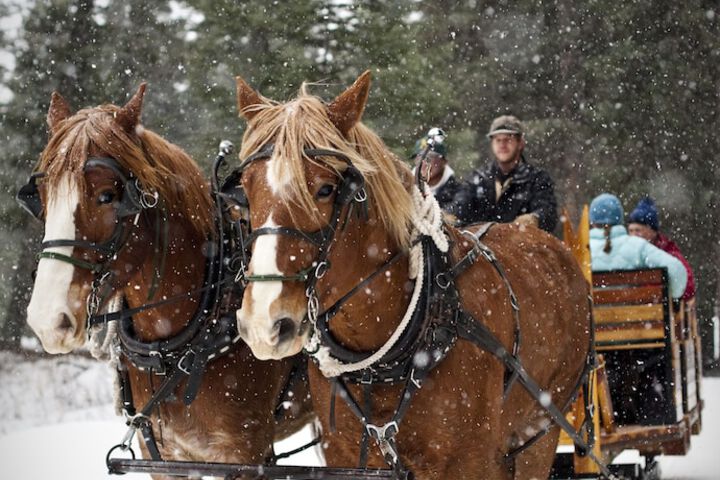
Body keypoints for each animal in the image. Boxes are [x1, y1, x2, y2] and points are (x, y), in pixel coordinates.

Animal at [235, 72, 592, 480]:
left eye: (326, 189)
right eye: (245, 189)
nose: (264, 324)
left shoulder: (469, 461)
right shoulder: (345, 458)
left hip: (539, 433)